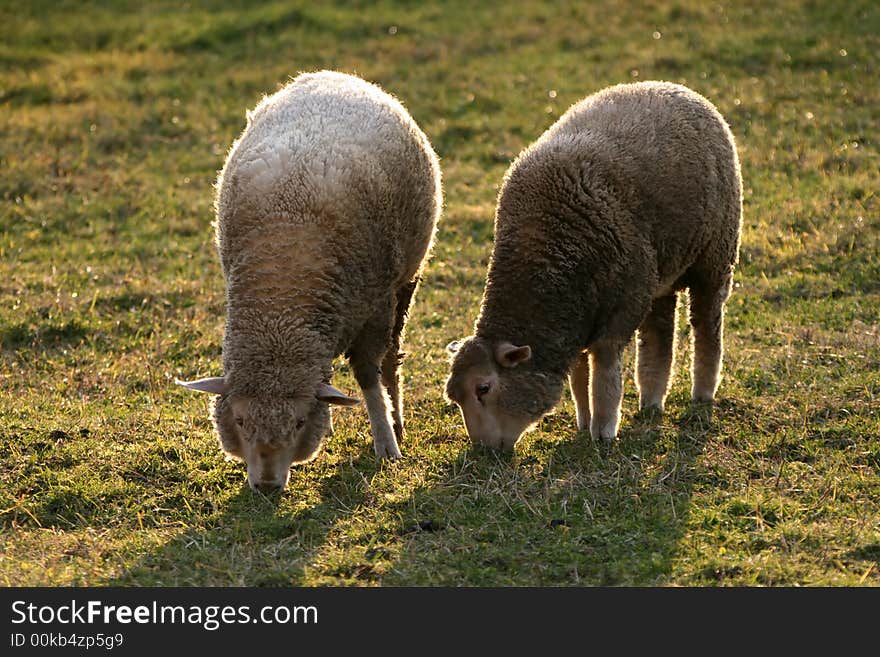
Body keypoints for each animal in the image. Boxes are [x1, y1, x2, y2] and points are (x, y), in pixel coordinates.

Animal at [179, 73, 444, 492]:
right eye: (240, 420)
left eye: (300, 422)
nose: (267, 485)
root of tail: (333, 75)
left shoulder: (374, 307)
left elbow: (369, 378)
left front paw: (385, 440)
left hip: (405, 281)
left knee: (392, 357)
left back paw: (396, 418)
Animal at [446, 80, 744, 452]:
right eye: (455, 398)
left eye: (483, 388)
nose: (482, 452)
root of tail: (677, 87)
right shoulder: (577, 320)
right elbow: (579, 376)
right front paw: (584, 420)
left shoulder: (618, 312)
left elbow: (603, 374)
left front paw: (602, 430)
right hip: (659, 274)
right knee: (659, 334)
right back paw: (651, 400)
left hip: (714, 257)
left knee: (706, 324)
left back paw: (702, 392)